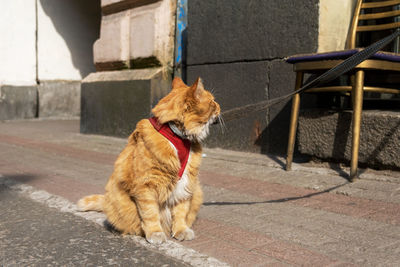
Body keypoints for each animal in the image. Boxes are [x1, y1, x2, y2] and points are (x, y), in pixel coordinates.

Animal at [77, 77, 222, 245]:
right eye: (212, 101)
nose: (219, 106)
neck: (178, 136)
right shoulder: (146, 186)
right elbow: (150, 214)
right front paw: (155, 233)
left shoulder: (186, 185)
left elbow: (180, 212)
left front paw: (181, 230)